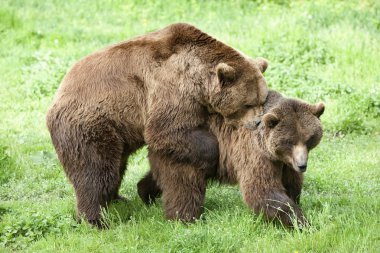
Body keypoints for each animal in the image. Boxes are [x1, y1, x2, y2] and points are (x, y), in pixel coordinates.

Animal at [46, 22, 268, 226]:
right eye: (248, 103)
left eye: (262, 99)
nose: (258, 122)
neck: (199, 80)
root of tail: (57, 95)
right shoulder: (172, 88)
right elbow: (166, 130)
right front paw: (210, 155)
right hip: (91, 123)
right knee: (96, 170)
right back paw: (96, 220)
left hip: (118, 130)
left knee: (116, 166)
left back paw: (118, 199)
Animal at [138, 90, 326, 227]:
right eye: (289, 141)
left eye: (309, 139)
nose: (302, 165)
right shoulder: (255, 153)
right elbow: (263, 190)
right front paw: (302, 222)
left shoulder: (284, 163)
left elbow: (291, 183)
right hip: (189, 151)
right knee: (184, 187)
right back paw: (184, 219)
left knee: (162, 177)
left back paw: (145, 193)